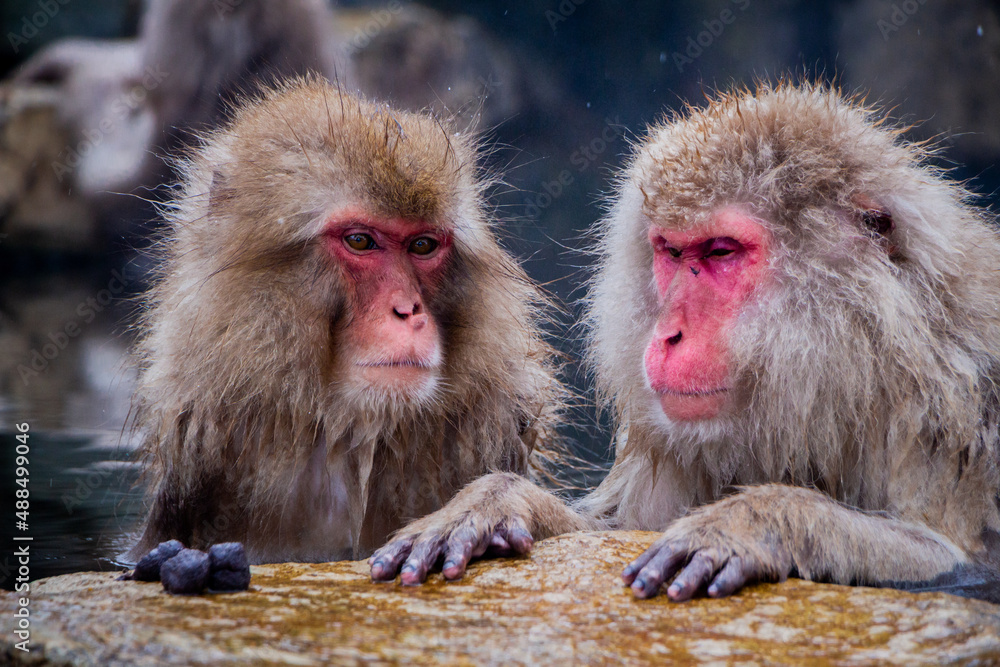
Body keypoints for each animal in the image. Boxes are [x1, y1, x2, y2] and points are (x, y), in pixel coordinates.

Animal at [369, 81, 1000, 604]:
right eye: (672, 252)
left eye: (720, 251)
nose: (668, 333)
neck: (865, 355)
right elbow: (616, 531)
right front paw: (494, 503)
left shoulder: (953, 403)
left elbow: (961, 564)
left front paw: (755, 519)